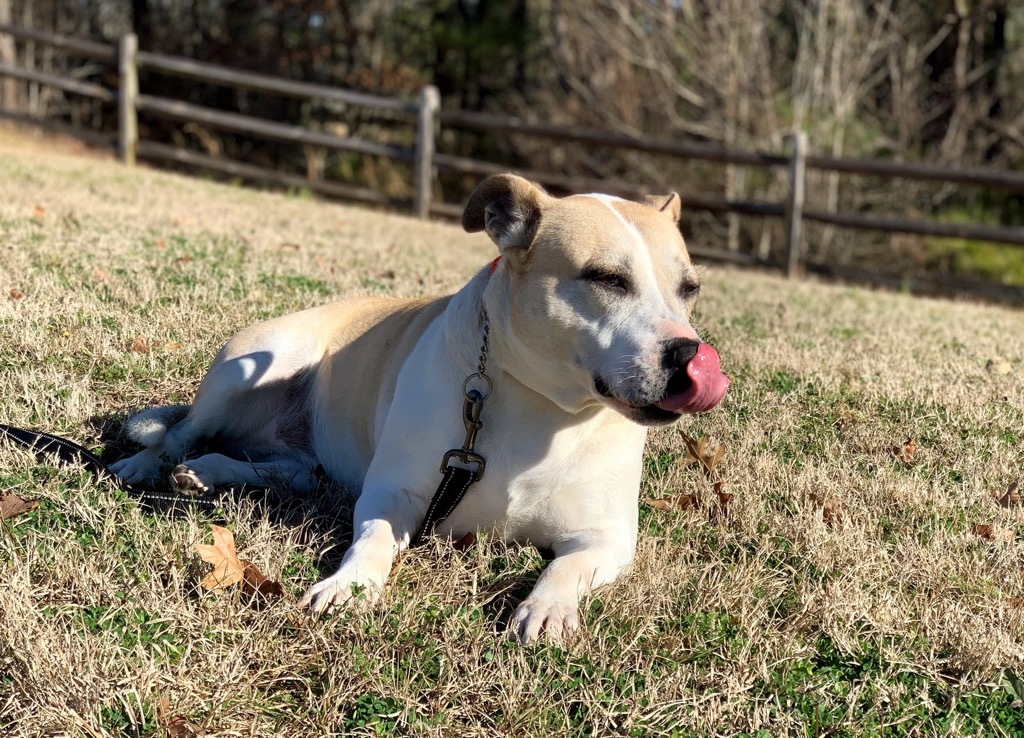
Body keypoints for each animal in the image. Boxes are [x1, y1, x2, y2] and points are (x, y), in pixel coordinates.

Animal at [110, 172, 729, 638]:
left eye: (690, 289)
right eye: (606, 278)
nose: (688, 354)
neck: (542, 404)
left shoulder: (607, 536)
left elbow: (567, 565)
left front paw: (547, 609)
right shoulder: (395, 492)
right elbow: (374, 538)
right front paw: (349, 585)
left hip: (295, 453)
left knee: (290, 471)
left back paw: (208, 472)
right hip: (252, 365)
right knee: (182, 433)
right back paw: (146, 465)